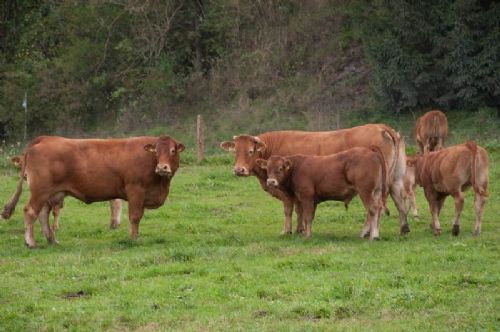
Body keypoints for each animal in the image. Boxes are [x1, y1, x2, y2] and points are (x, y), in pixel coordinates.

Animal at [256, 147, 388, 240]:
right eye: (267, 169)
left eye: (280, 168)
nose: (271, 181)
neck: (296, 168)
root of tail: (370, 150)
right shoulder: (309, 200)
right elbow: (307, 216)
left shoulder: (307, 197)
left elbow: (307, 217)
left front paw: (307, 235)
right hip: (376, 191)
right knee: (376, 209)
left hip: (365, 191)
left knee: (372, 209)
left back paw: (374, 235)